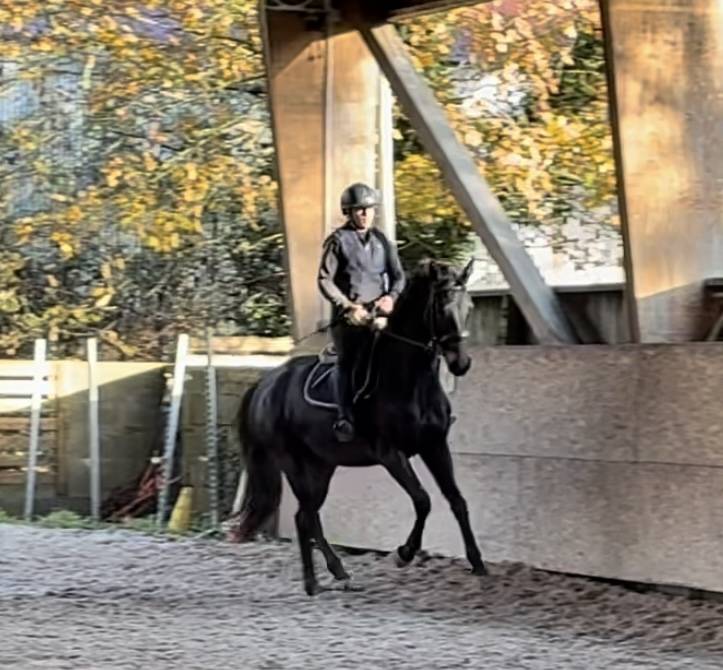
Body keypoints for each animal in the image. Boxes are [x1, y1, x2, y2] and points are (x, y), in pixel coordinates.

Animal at [231, 259, 487, 595]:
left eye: (469, 306)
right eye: (442, 307)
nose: (461, 364)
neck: (410, 380)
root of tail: (265, 384)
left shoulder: (434, 446)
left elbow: (457, 501)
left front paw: (478, 563)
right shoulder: (391, 454)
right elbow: (423, 500)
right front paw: (404, 553)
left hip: (321, 466)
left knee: (306, 515)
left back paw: (333, 574)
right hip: (293, 464)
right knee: (306, 515)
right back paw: (317, 580)